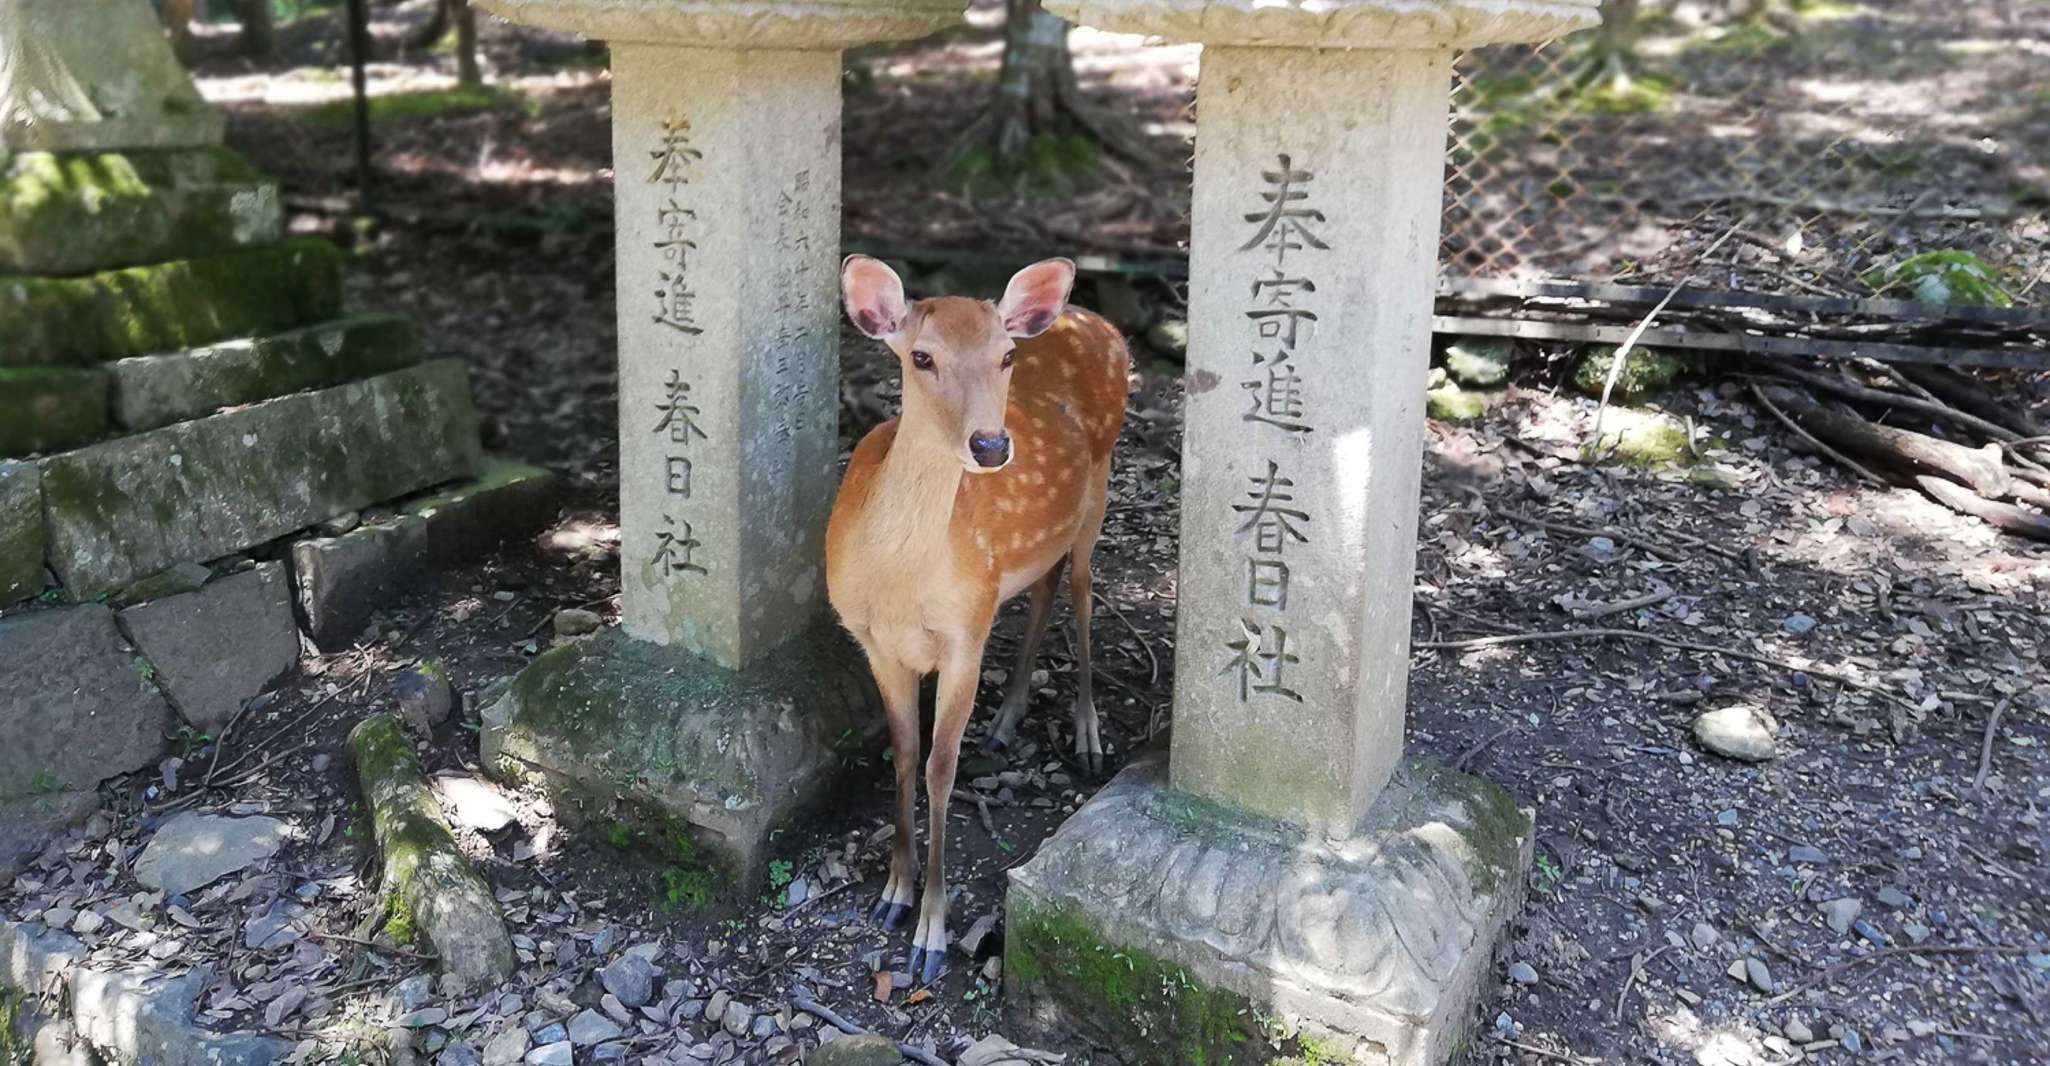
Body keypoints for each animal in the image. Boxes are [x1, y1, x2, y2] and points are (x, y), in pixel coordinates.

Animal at [824, 254, 1131, 979]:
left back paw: (1087, 734)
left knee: (1082, 592)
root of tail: (1092, 316)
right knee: (1045, 590)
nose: (991, 446)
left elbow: (940, 768)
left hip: (1099, 489)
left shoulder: (965, 632)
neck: (900, 584)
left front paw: (931, 933)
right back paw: (1007, 717)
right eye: (922, 356)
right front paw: (892, 894)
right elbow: (904, 753)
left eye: (1005, 355)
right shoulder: (875, 640)